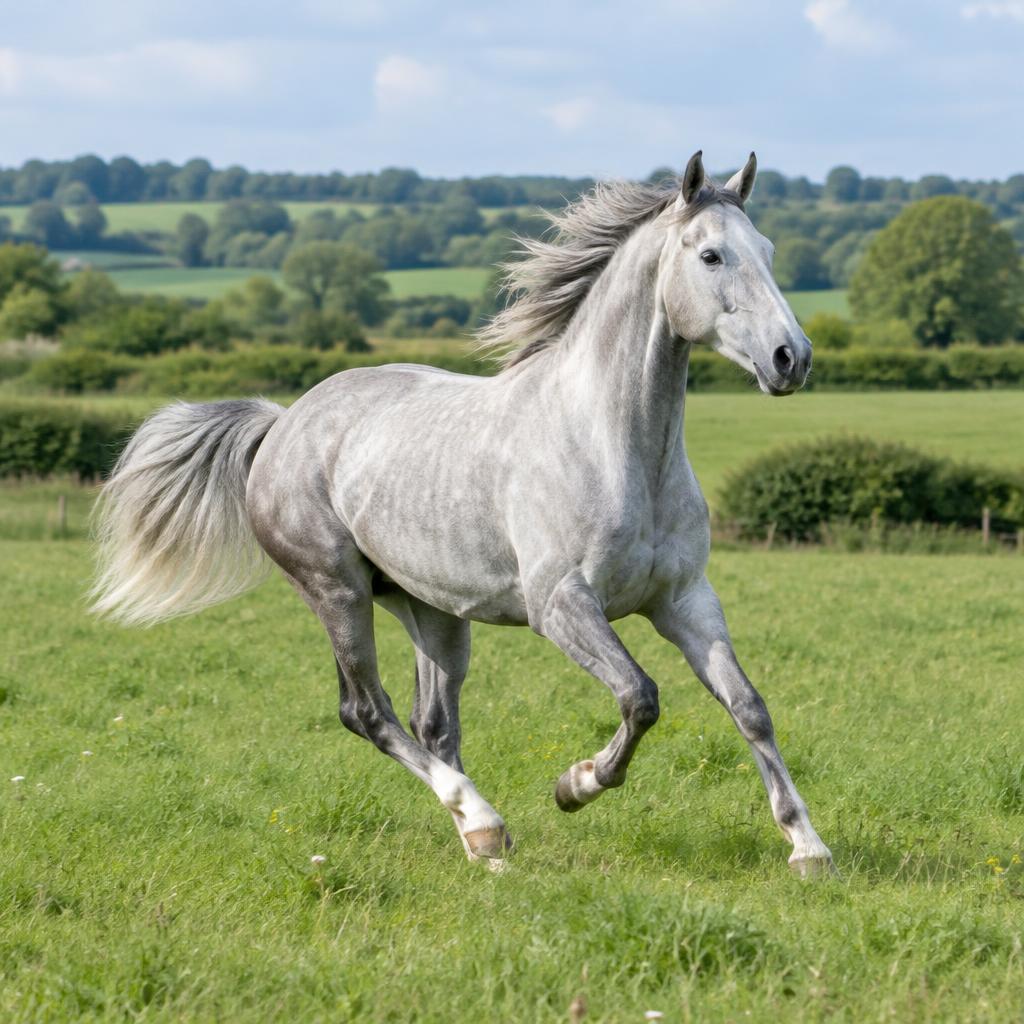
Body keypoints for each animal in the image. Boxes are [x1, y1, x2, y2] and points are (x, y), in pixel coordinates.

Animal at [92, 151, 834, 877]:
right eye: (711, 255)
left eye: (767, 250)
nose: (791, 358)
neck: (611, 443)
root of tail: (282, 422)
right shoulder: (562, 605)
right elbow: (639, 696)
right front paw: (576, 784)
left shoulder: (685, 600)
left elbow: (749, 707)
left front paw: (808, 847)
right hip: (336, 590)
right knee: (367, 711)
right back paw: (484, 821)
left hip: (433, 611)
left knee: (433, 724)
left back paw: (482, 845)